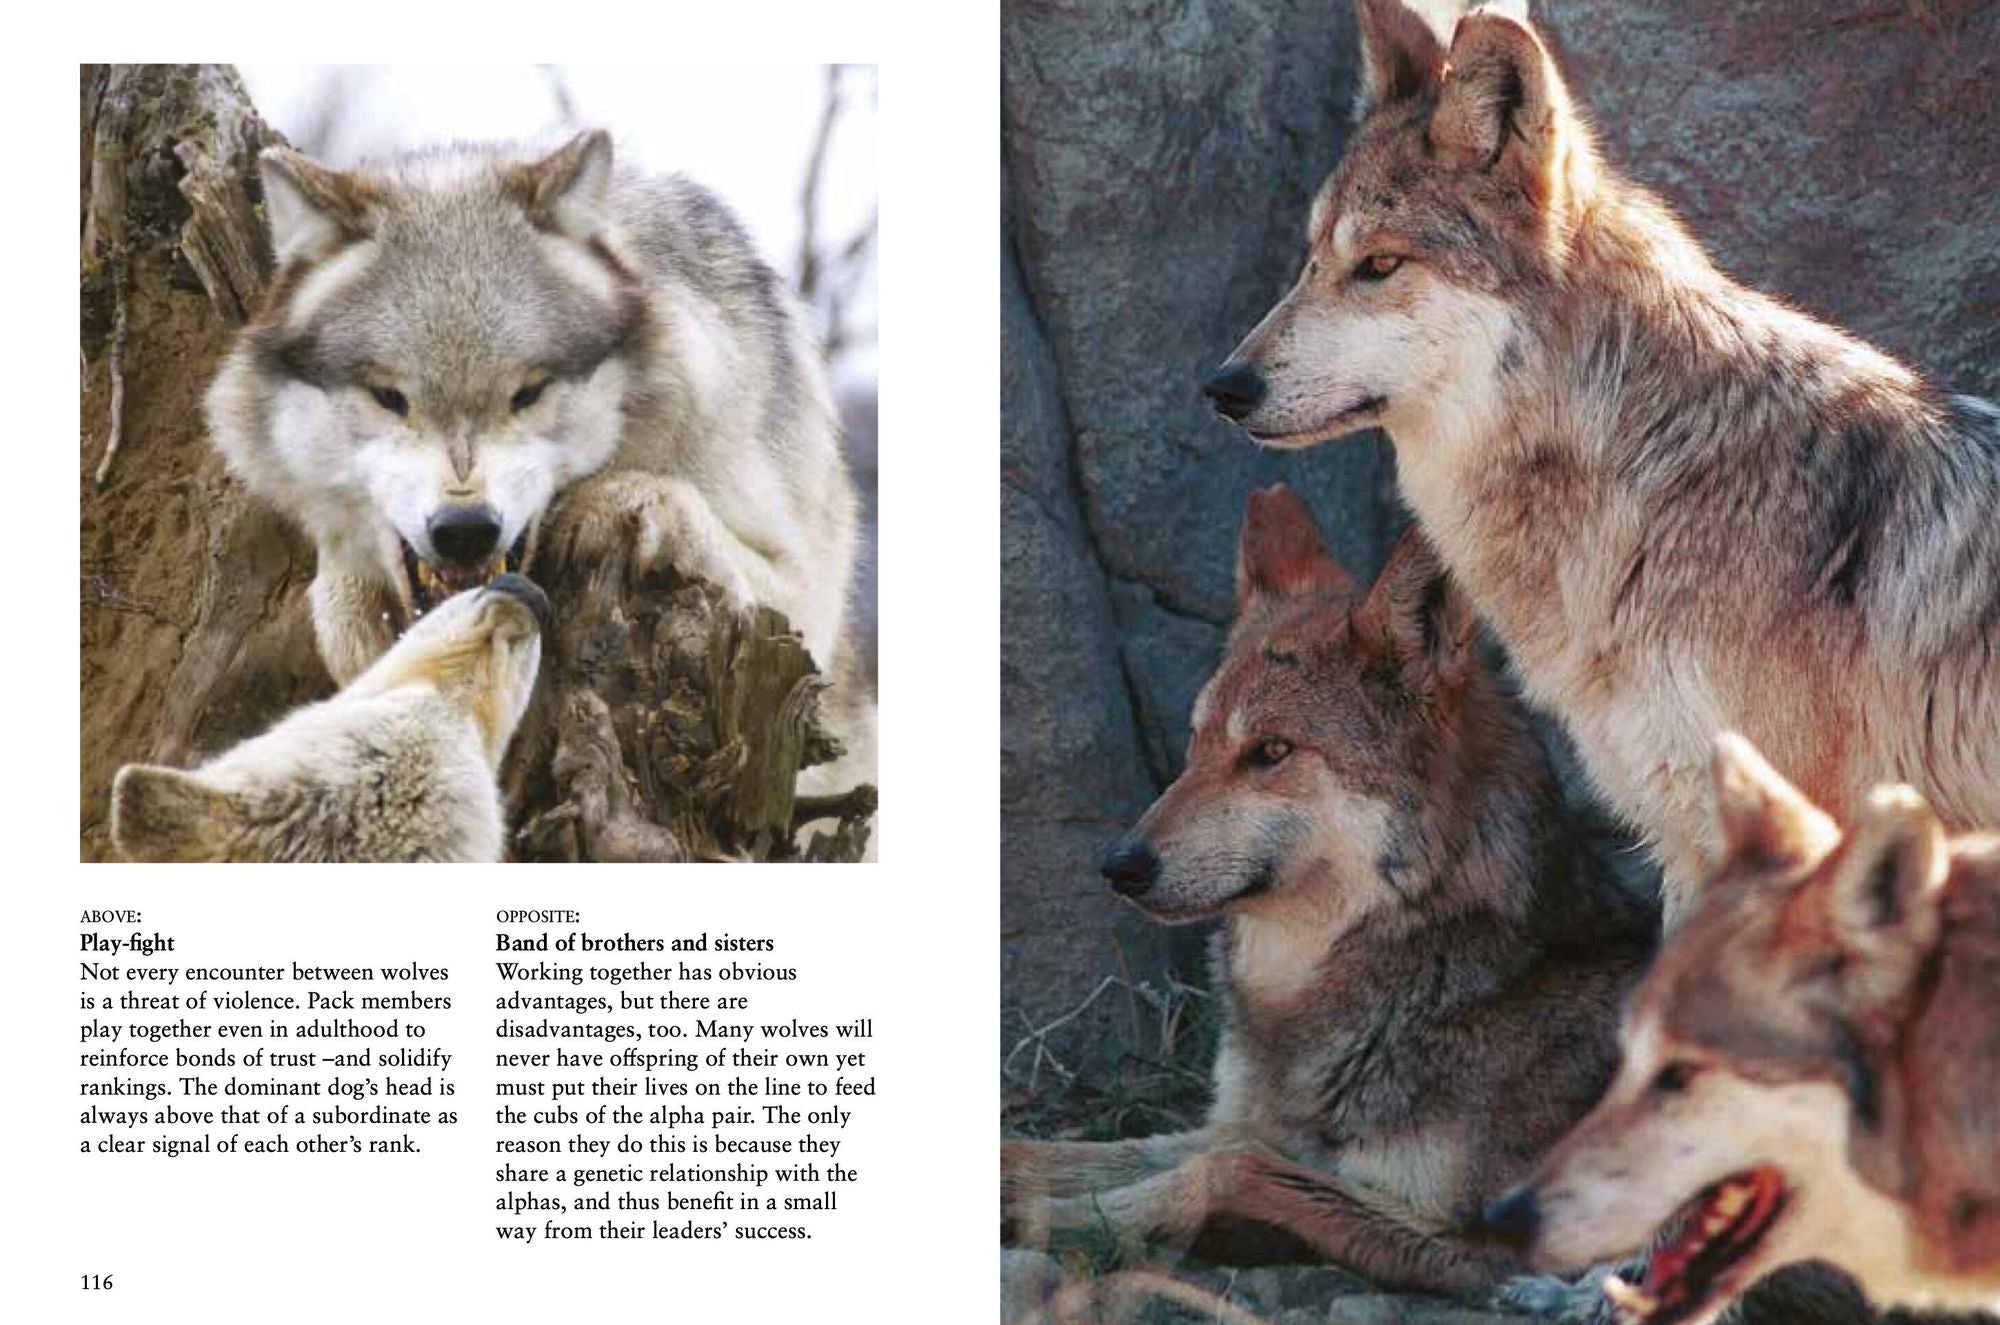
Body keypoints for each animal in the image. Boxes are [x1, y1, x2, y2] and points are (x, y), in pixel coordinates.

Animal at [204, 130, 873, 803]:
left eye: (527, 393)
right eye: (389, 398)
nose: (465, 529)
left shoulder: (803, 596)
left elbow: (669, 503)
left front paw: (615, 504)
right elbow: (340, 598)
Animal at [1001, 487, 1654, 1297]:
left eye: (1272, 751)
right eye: (1197, 745)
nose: (1119, 863)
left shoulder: (1493, 1249)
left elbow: (1225, 1171)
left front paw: (1068, 1221)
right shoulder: (1242, 1123)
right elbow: (1066, 1154)